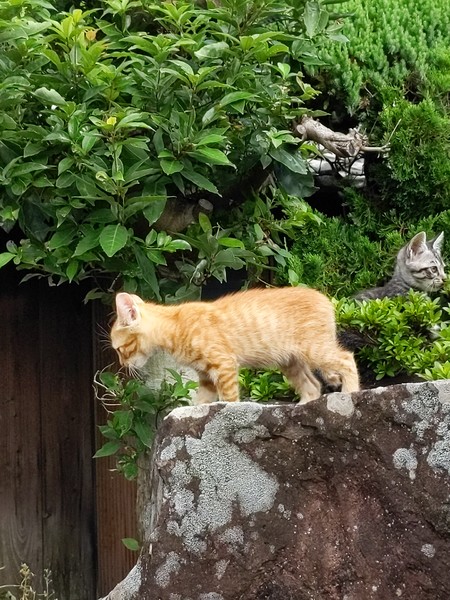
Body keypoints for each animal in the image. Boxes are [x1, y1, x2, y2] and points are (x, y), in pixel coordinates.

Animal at [111, 287, 360, 405]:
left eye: (119, 349)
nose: (122, 364)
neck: (175, 324)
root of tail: (324, 298)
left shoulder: (224, 363)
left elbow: (229, 398)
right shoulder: (205, 375)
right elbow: (201, 400)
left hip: (315, 349)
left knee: (347, 359)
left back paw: (350, 393)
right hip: (291, 362)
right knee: (312, 385)